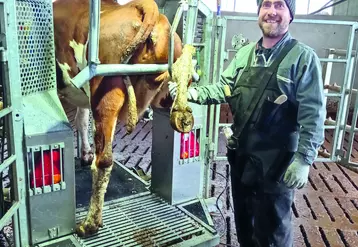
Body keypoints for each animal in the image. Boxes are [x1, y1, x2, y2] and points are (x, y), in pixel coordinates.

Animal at [52, 0, 196, 236]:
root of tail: (149, 10)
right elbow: (82, 119)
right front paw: (85, 153)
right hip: (166, 93)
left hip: (106, 96)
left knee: (104, 161)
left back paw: (90, 224)